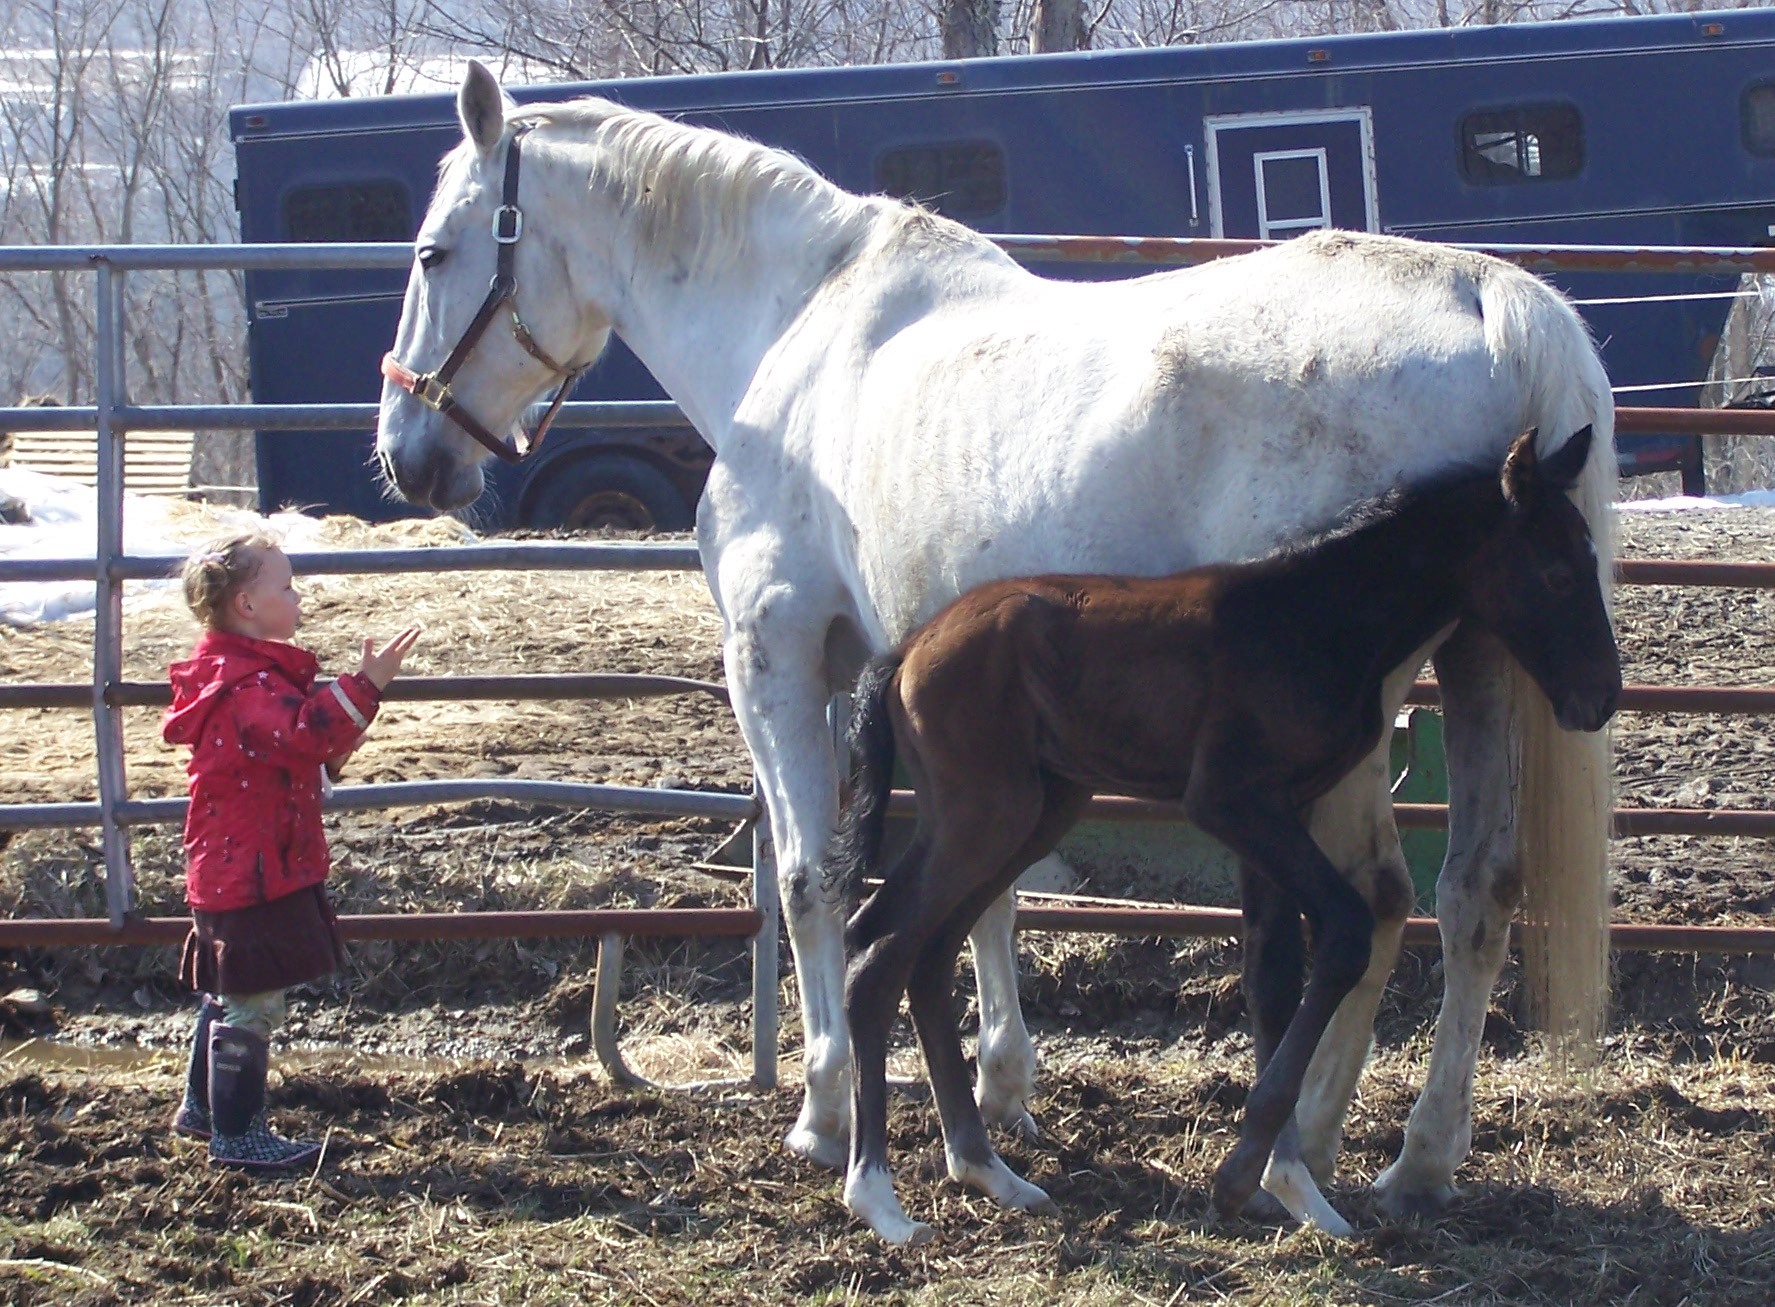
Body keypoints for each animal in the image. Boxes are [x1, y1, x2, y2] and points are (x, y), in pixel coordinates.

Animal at [827, 426, 1619, 1245]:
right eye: (1558, 572)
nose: (1601, 696)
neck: (1315, 618)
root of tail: (903, 653)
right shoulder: (1232, 803)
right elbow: (1342, 931)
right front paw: (1242, 1176)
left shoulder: (1283, 812)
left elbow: (1274, 973)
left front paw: (1292, 1187)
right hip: (985, 815)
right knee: (878, 950)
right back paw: (877, 1196)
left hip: (1028, 812)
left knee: (923, 954)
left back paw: (987, 1170)